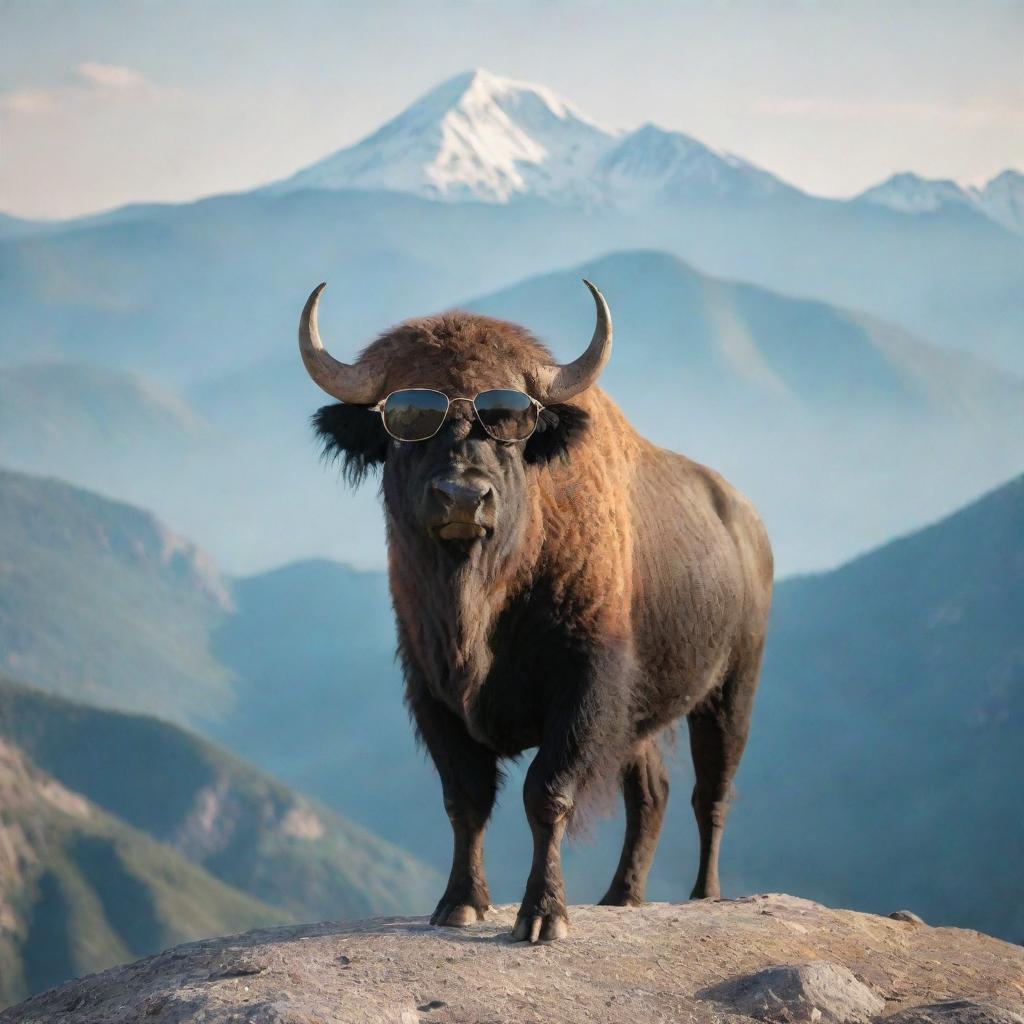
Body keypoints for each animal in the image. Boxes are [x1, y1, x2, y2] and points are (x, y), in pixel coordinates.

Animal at [299, 280, 770, 942]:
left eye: (511, 421)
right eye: (406, 417)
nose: (463, 496)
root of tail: (745, 521)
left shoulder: (584, 688)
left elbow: (546, 794)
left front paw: (543, 917)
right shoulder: (432, 693)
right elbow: (465, 800)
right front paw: (460, 904)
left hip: (730, 692)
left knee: (712, 792)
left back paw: (704, 895)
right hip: (646, 717)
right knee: (652, 792)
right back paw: (621, 897)